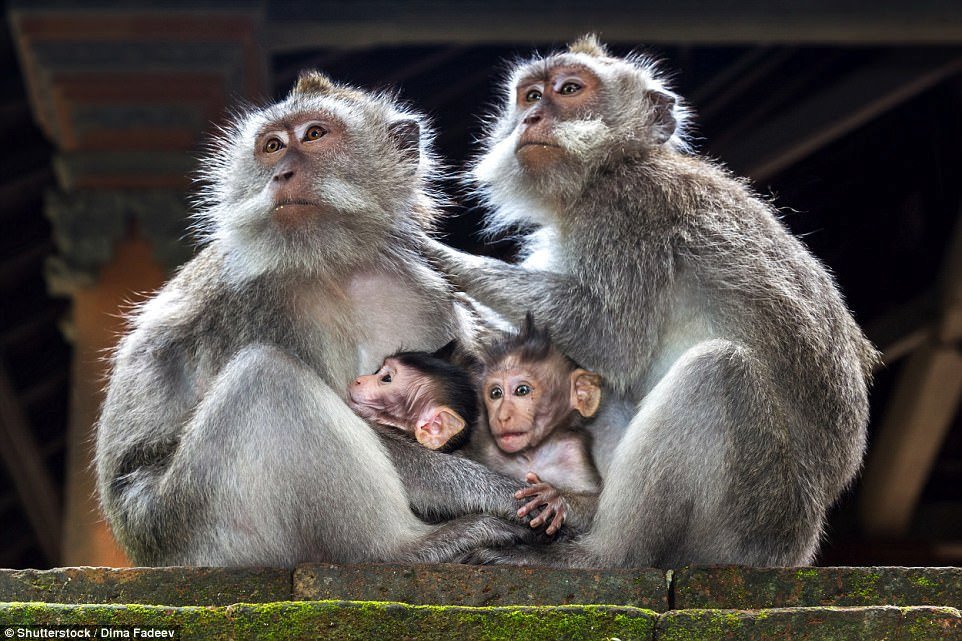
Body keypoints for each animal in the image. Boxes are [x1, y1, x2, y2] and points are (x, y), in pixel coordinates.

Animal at [428, 36, 876, 564]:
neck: (612, 165)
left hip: (754, 515)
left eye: (570, 89)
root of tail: (800, 544)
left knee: (716, 371)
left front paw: (435, 256)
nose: (531, 118)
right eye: (531, 95)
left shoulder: (627, 213)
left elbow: (610, 338)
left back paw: (599, 555)